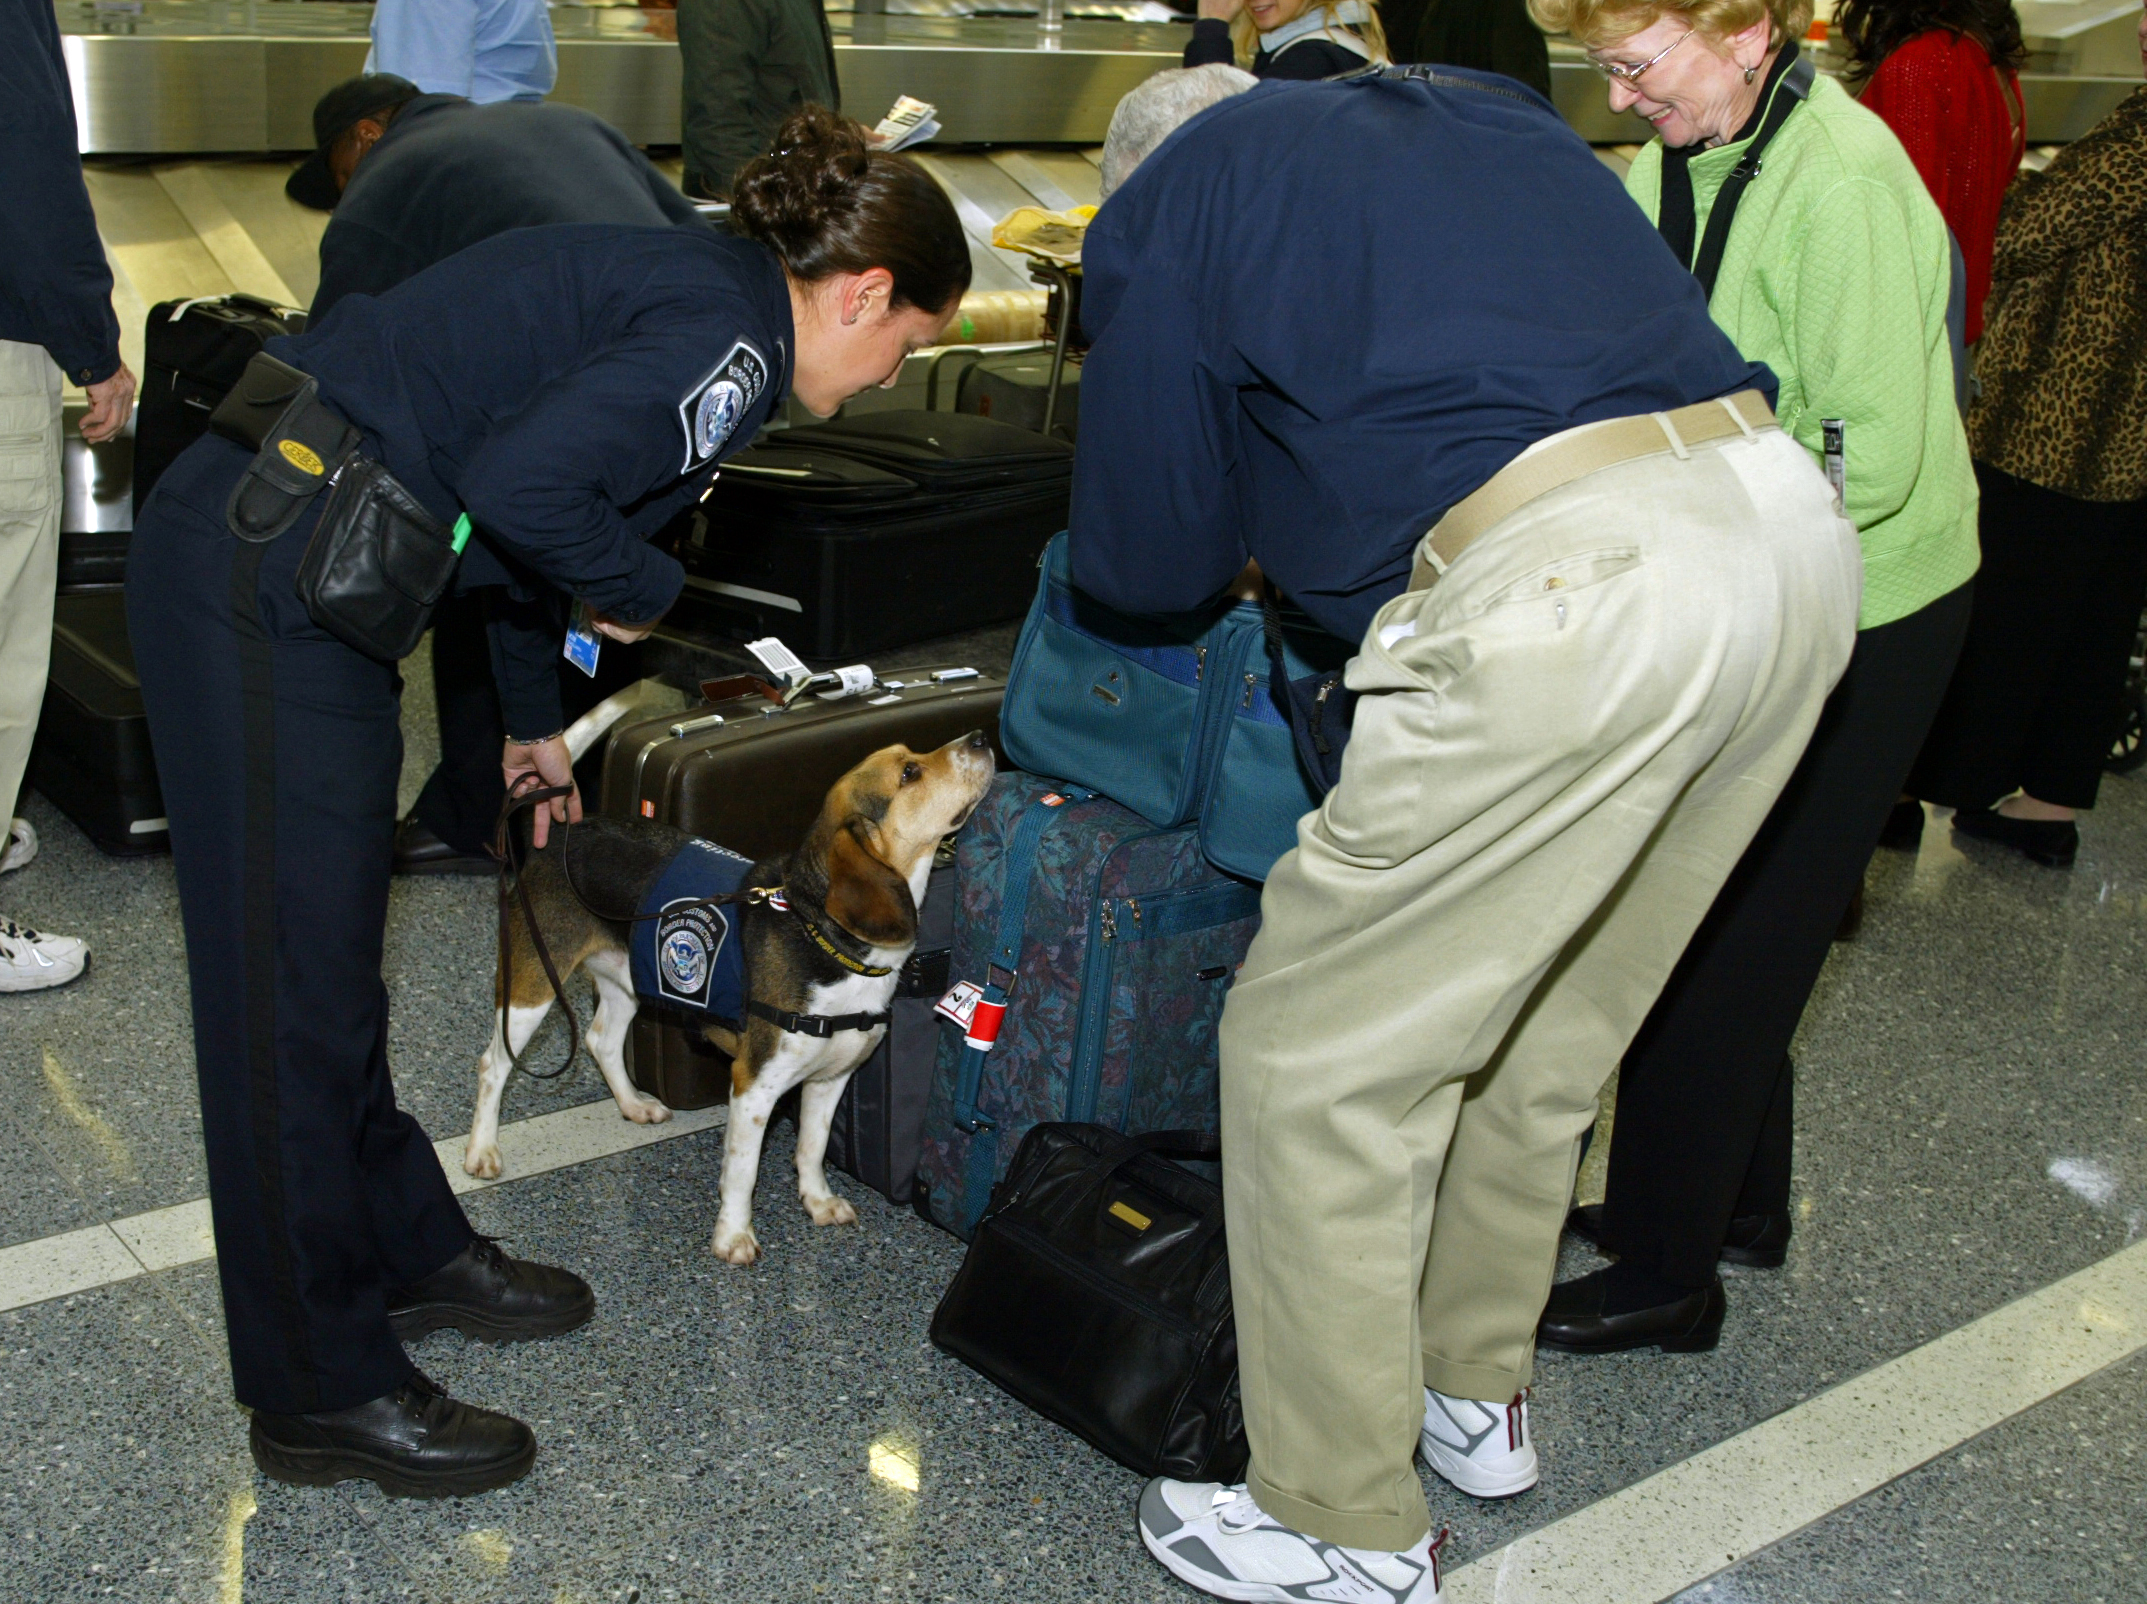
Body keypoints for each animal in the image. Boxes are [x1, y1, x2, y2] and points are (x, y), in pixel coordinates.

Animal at [463, 725, 996, 1271]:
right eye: (909, 772)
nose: (979, 737)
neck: (823, 937)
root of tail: (565, 831)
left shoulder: (831, 1078)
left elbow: (812, 1146)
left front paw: (818, 1201)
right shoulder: (753, 1086)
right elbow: (743, 1172)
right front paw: (734, 1236)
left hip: (630, 976)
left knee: (601, 1041)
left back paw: (634, 1105)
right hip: (532, 985)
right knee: (493, 1065)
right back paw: (482, 1151)